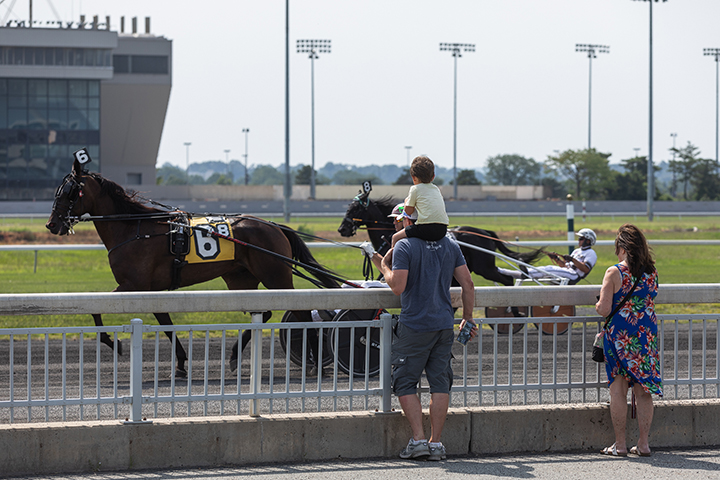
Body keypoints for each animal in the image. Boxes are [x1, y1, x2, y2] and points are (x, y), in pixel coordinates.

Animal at [46, 158, 338, 376]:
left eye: (69, 191)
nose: (52, 224)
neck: (133, 228)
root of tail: (274, 225)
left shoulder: (133, 285)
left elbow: (96, 311)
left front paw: (113, 342)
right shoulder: (151, 290)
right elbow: (165, 324)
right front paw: (181, 364)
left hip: (276, 276)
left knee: (301, 313)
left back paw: (313, 363)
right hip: (241, 278)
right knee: (264, 311)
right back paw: (234, 357)